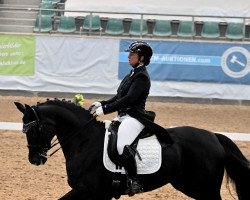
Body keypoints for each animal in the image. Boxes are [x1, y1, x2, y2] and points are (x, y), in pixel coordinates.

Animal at [14, 99, 249, 199]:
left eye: (32, 129)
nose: (35, 159)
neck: (84, 142)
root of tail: (214, 136)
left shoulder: (86, 189)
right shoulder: (101, 194)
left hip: (205, 188)